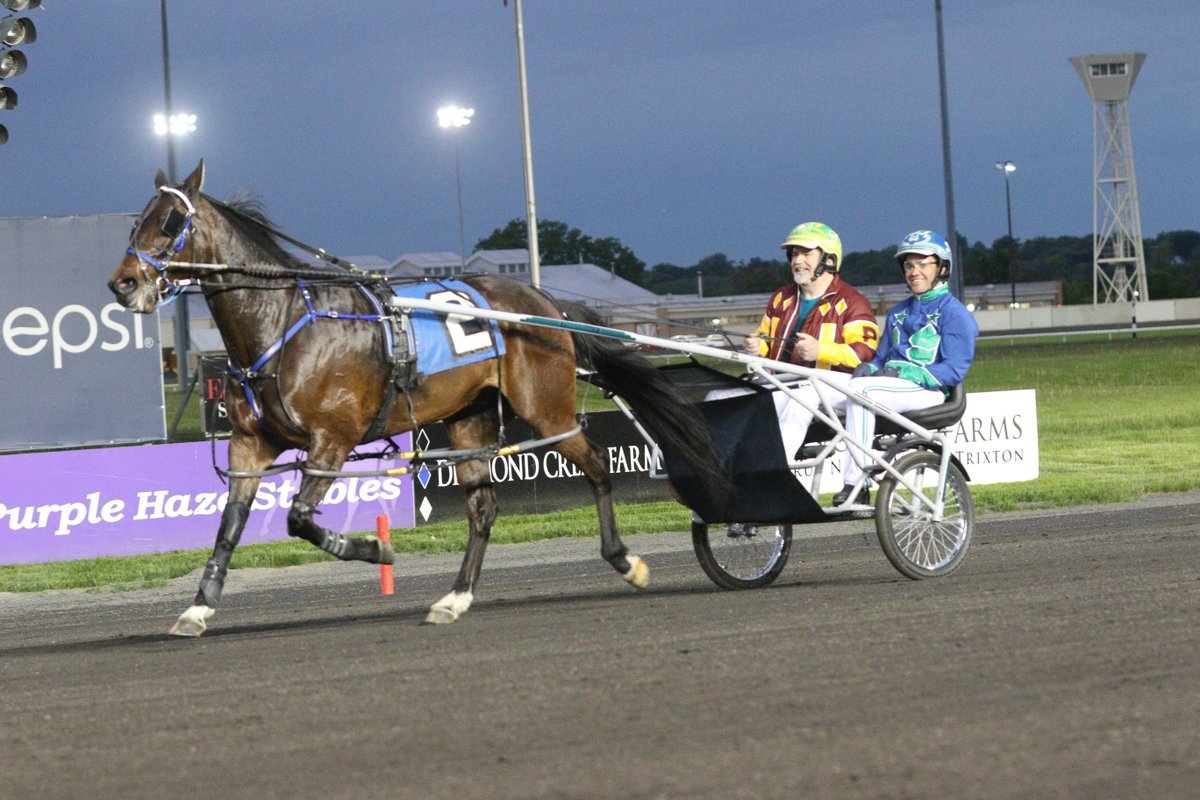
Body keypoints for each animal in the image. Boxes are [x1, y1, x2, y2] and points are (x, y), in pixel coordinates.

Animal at [108, 160, 724, 638]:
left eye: (170, 221)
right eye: (136, 221)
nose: (123, 283)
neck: (284, 322)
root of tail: (543, 302)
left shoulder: (332, 440)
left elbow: (300, 519)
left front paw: (375, 550)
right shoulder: (250, 443)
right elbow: (230, 524)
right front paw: (198, 607)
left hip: (546, 407)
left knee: (596, 465)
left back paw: (625, 560)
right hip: (470, 417)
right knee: (483, 507)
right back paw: (454, 597)